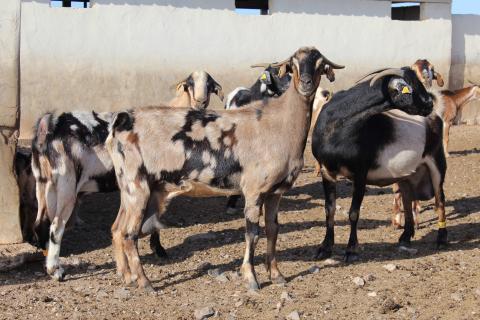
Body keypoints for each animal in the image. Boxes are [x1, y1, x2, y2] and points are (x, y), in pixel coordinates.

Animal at [106, 47, 344, 290]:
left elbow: (273, 230)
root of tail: (121, 122)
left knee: (117, 228)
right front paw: (251, 278)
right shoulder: (254, 190)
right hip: (137, 186)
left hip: (130, 188)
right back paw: (144, 282)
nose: (306, 83)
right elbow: (252, 234)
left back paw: (127, 276)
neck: (279, 124)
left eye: (320, 66)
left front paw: (276, 275)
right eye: (293, 66)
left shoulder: (275, 191)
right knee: (129, 234)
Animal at [314, 68, 448, 262]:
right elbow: (329, 210)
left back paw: (442, 239)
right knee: (407, 198)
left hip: (437, 162)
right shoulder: (327, 171)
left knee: (440, 199)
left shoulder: (360, 173)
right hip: (407, 174)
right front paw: (324, 248)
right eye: (410, 89)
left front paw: (351, 250)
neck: (339, 124)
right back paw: (405, 237)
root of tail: (435, 116)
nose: (429, 103)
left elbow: (353, 213)